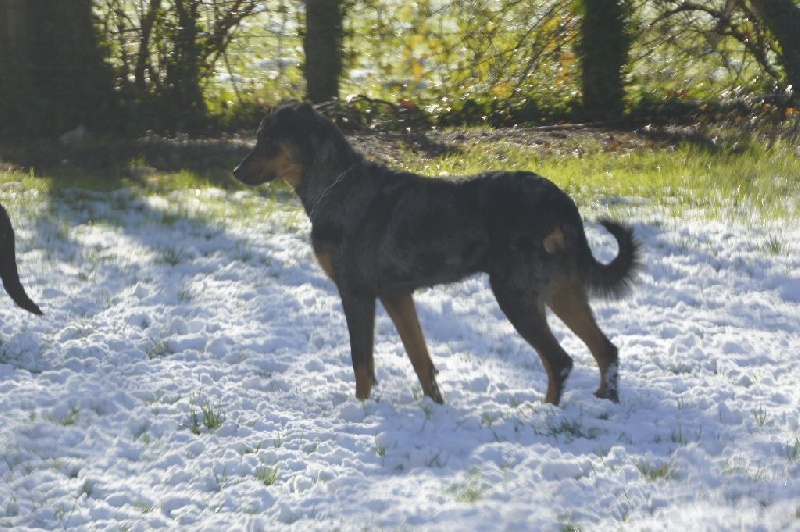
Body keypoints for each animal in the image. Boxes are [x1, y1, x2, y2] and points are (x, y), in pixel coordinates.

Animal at [231, 102, 636, 406]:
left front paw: (361, 411)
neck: (337, 186)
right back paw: (607, 405)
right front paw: (435, 408)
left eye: (268, 140)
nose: (235, 172)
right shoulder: (396, 294)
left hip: (515, 291)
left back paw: (546, 416)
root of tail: (559, 202)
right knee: (606, 350)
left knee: (560, 361)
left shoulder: (356, 292)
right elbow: (420, 359)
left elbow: (362, 362)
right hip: (559, 288)